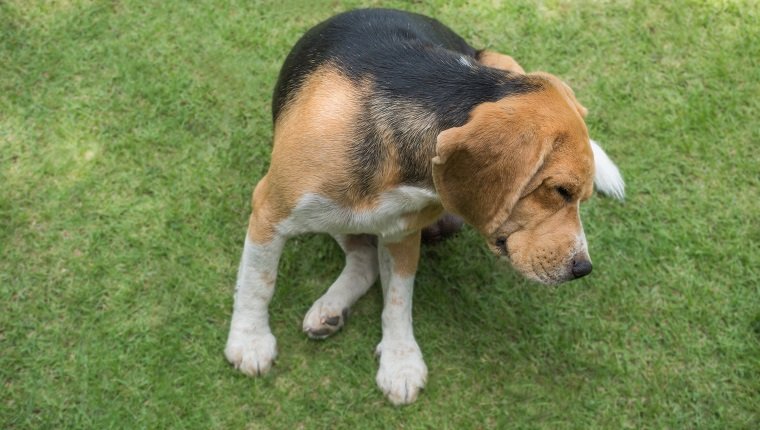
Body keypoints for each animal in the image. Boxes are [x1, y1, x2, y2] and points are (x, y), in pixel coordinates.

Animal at [224, 8, 624, 404]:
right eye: (560, 190)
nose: (583, 268)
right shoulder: (270, 211)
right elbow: (259, 280)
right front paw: (250, 340)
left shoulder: (402, 234)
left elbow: (398, 299)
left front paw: (400, 362)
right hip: (332, 214)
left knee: (367, 259)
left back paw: (332, 308)